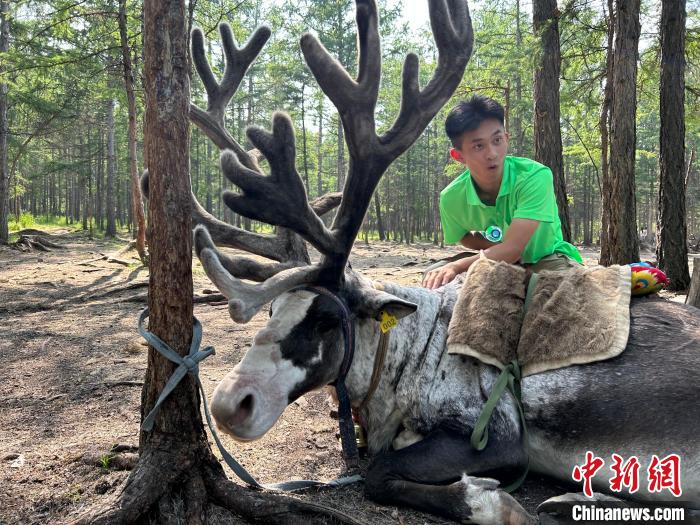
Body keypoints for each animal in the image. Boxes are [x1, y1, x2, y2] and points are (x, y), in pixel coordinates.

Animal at [149, 1, 700, 524]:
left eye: (327, 319)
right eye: (270, 311)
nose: (228, 404)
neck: (405, 363)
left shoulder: (497, 434)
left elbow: (378, 475)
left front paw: (492, 503)